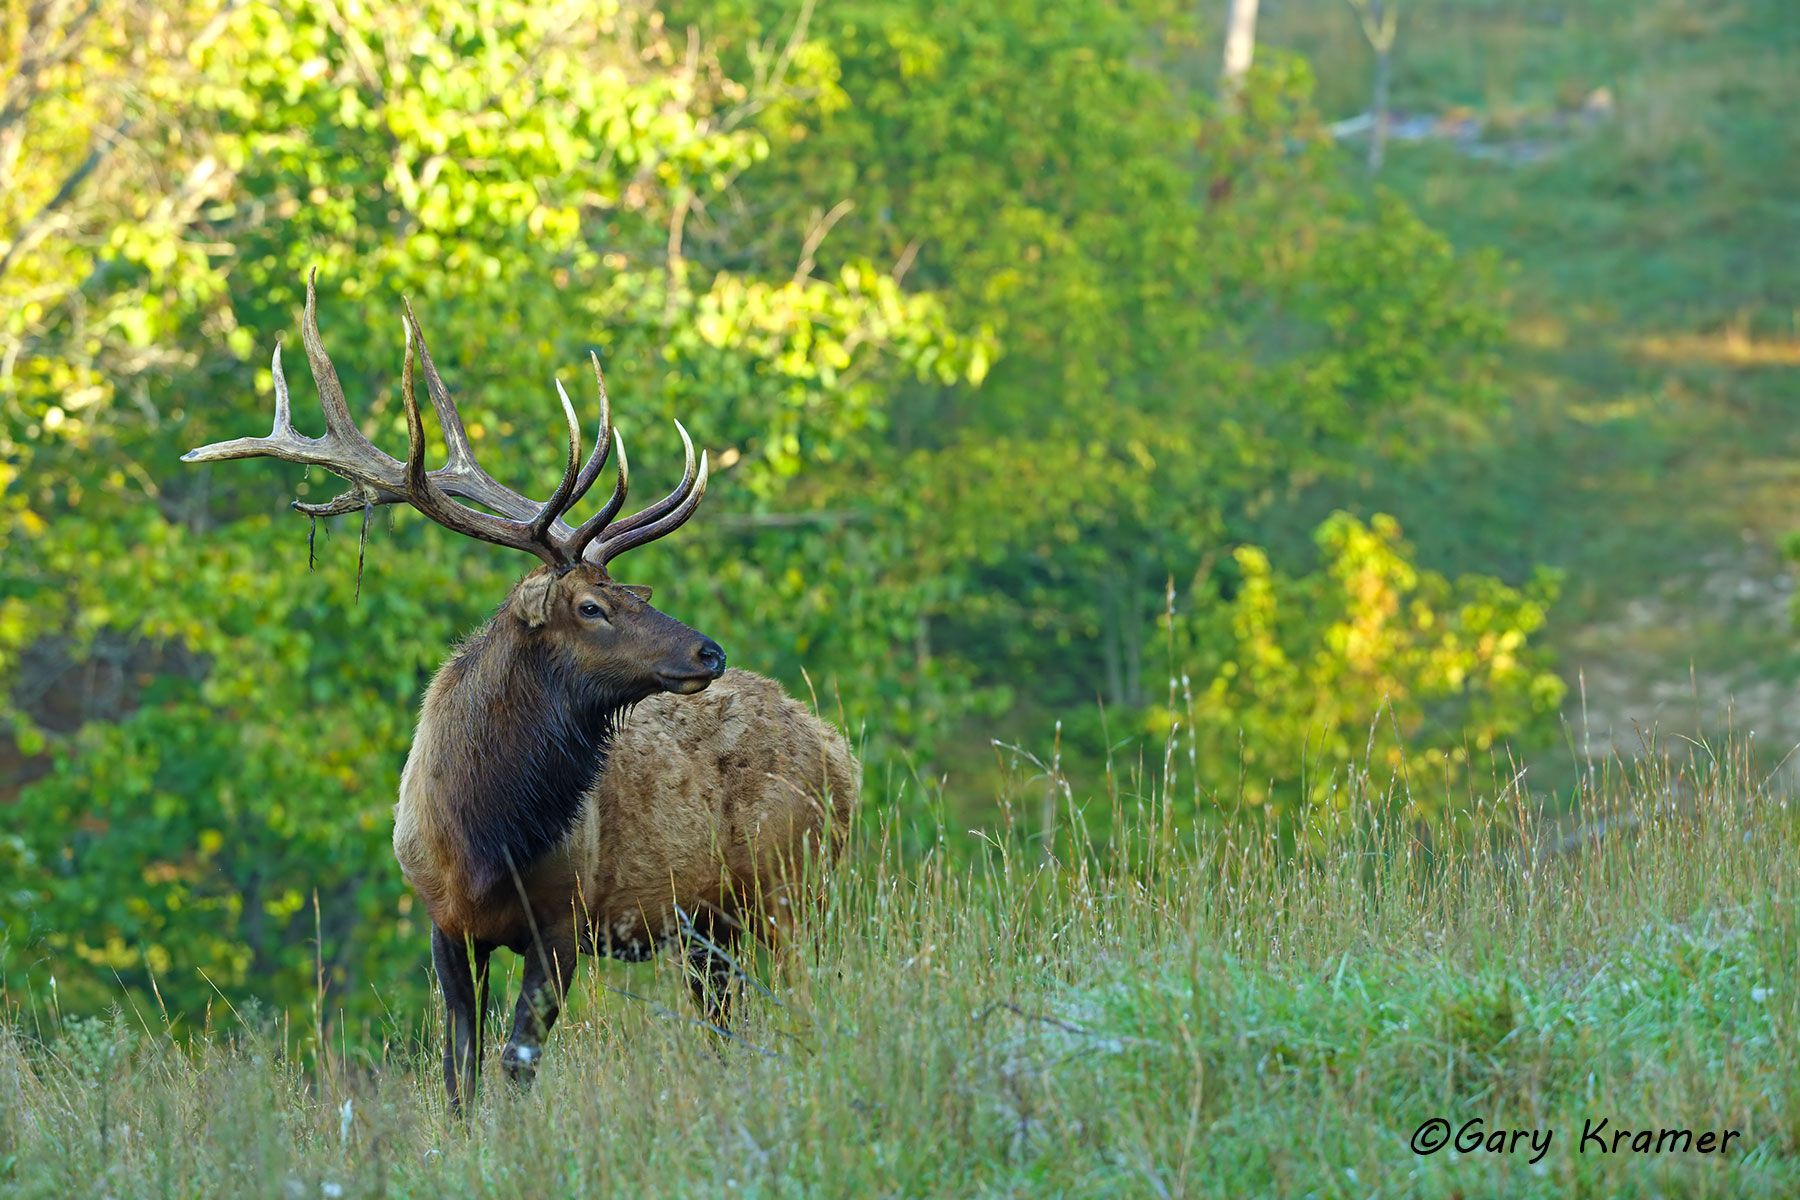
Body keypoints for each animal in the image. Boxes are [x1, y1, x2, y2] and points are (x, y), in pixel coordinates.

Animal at [184, 275, 859, 1111]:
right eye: (593, 605)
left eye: (627, 592)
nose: (710, 651)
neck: (483, 837)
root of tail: (840, 753)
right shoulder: (444, 925)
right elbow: (461, 1071)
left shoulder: (565, 921)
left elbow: (517, 1063)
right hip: (713, 928)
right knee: (727, 1028)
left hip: (798, 887)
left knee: (812, 997)